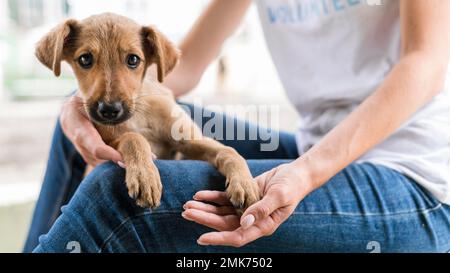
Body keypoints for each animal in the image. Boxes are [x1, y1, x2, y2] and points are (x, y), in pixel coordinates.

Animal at [36, 13, 260, 210]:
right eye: (85, 59)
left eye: (133, 60)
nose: (109, 110)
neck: (139, 115)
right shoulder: (108, 143)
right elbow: (133, 138)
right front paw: (145, 177)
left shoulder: (190, 141)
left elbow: (229, 151)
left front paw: (245, 184)